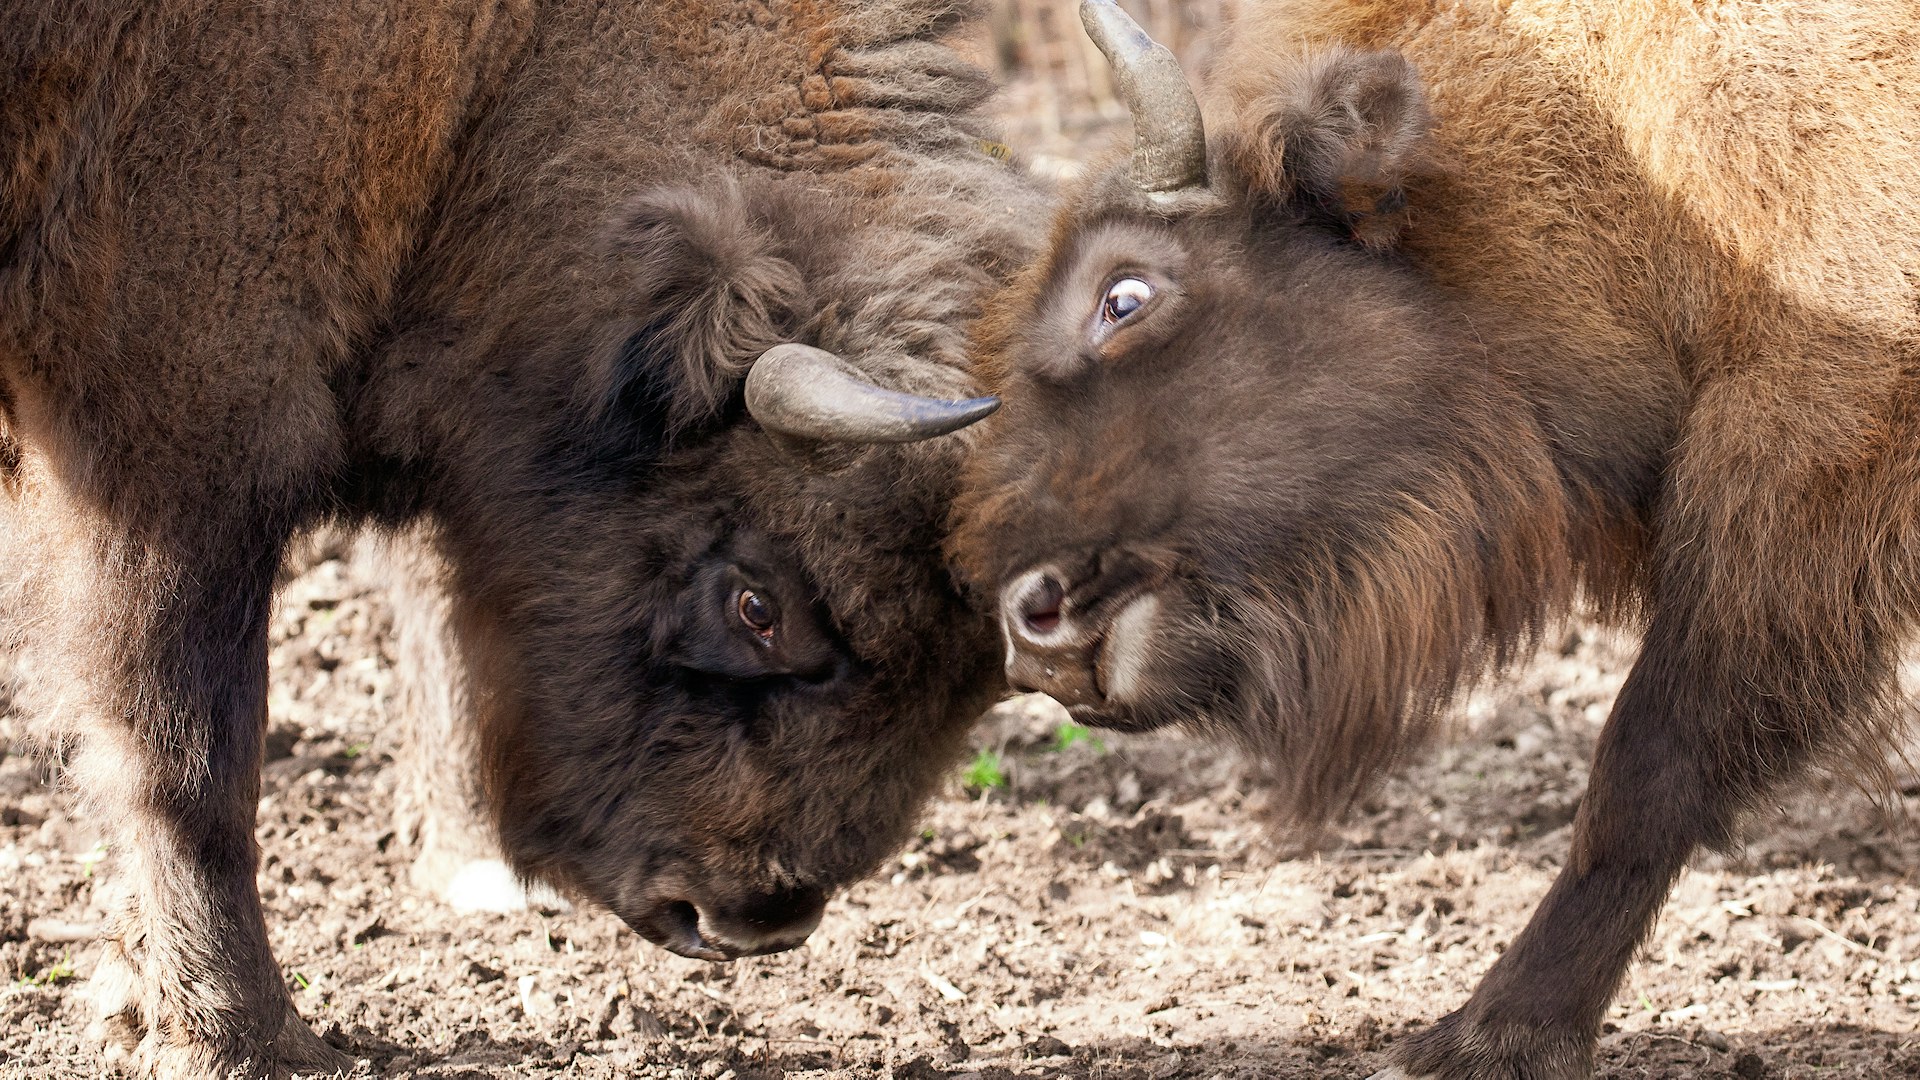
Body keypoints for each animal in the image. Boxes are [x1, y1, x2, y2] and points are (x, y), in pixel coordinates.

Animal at [3, 0, 1052, 1068]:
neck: (502, 81)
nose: (751, 921)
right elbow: (192, 754)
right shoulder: (179, 434)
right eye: (758, 606)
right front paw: (241, 1038)